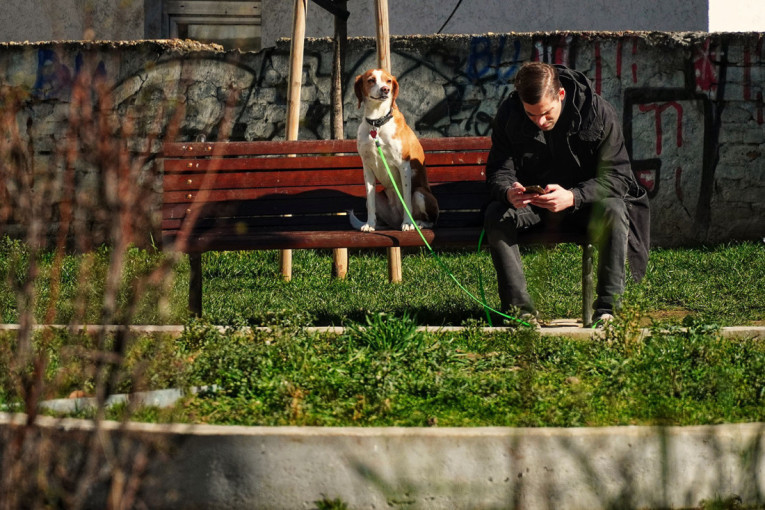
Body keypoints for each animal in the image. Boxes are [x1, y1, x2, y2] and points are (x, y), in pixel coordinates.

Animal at [350, 67, 438, 231]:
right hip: (380, 199)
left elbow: (407, 201)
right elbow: (370, 200)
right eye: (371, 80)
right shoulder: (367, 167)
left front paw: (408, 223)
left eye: (389, 81)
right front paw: (369, 224)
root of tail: (395, 222)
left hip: (420, 193)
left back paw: (417, 223)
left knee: (431, 220)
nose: (385, 89)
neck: (377, 123)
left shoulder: (404, 165)